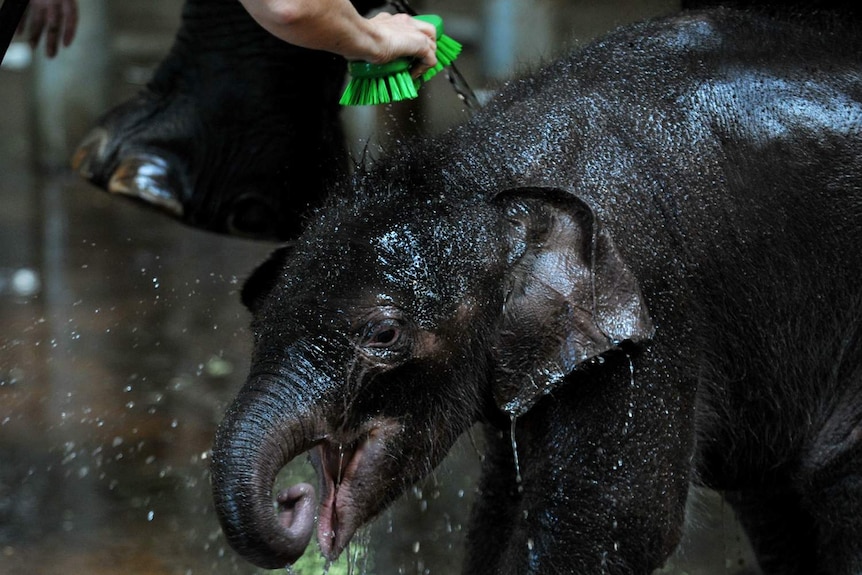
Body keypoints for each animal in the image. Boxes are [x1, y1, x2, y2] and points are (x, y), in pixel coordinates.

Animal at [209, 9, 862, 575]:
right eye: (257, 317)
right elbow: (505, 503)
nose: (291, 498)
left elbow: (615, 519)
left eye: (384, 334)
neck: (484, 173)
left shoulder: (652, 296)